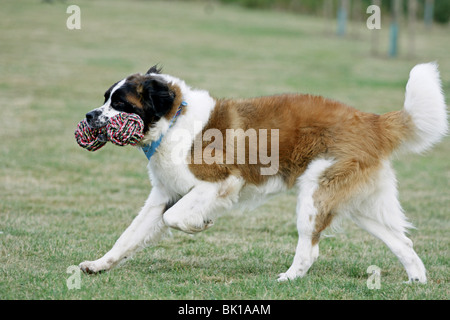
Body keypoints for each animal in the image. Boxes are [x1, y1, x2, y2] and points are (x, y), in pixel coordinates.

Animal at [80, 62, 446, 282]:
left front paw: (199, 224)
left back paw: (289, 277)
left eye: (120, 104)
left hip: (315, 193)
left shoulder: (221, 182)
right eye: (105, 98)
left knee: (310, 247)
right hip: (356, 205)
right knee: (403, 241)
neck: (173, 121)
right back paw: (416, 279)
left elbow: (174, 218)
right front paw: (98, 264)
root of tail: (371, 120)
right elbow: (129, 236)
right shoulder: (163, 196)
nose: (88, 115)